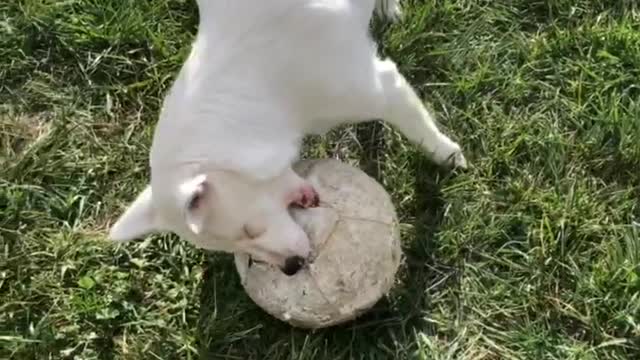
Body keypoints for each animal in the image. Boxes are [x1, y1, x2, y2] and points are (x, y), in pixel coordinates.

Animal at [106, 0, 464, 274]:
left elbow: (419, 129)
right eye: (233, 247)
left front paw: (446, 153)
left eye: (251, 230)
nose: (291, 268)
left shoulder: (383, 89)